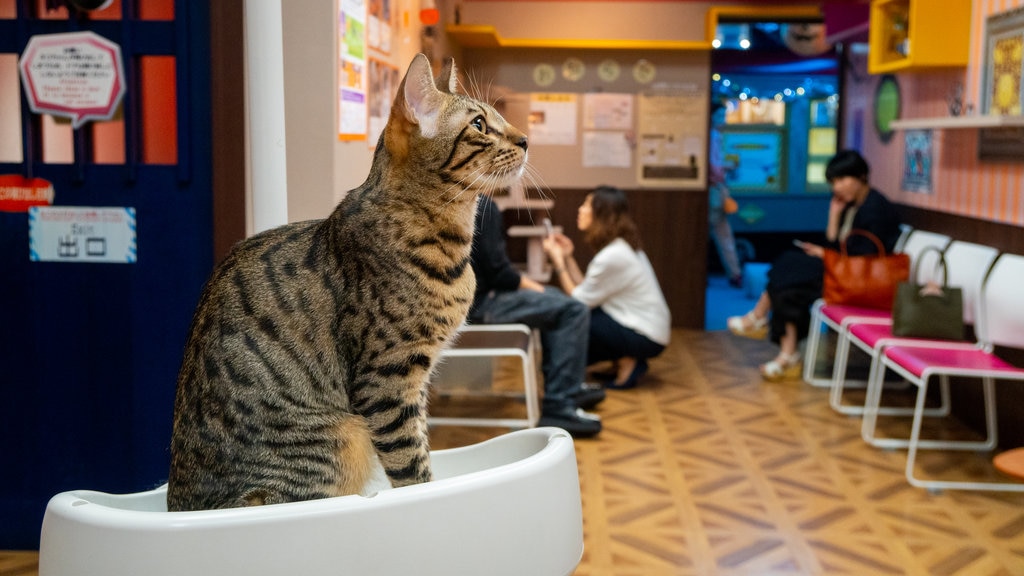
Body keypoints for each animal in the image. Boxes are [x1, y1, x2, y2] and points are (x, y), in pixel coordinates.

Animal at [166, 52, 528, 506]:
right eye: (479, 124)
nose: (525, 140)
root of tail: (178, 507)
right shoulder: (388, 382)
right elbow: (412, 464)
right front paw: (427, 495)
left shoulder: (414, 385)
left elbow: (423, 443)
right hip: (342, 437)